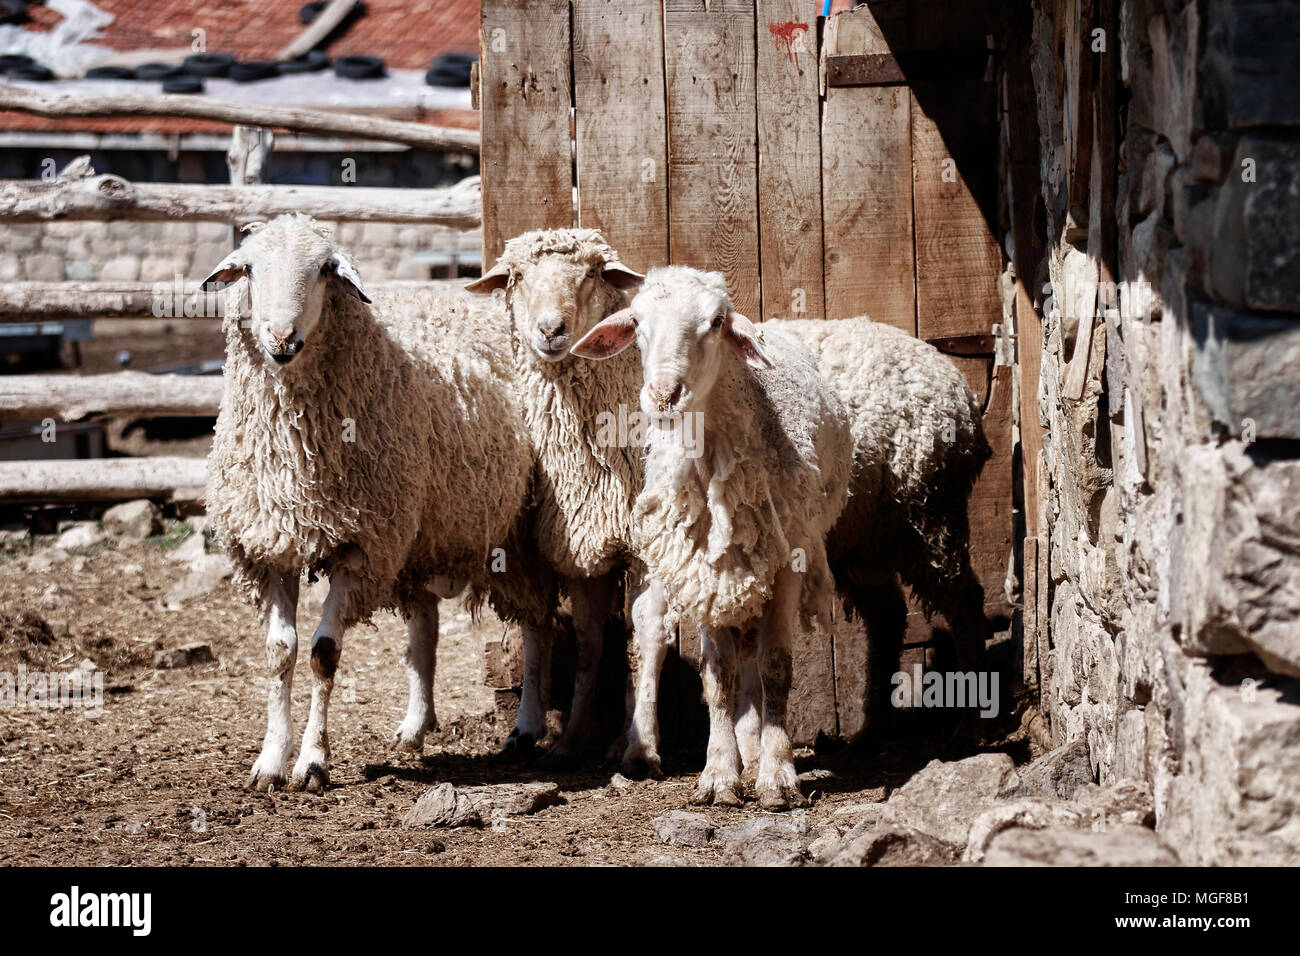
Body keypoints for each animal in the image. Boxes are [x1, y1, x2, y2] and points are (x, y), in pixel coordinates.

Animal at [201, 214, 541, 792]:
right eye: (248, 268)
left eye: (323, 270)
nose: (282, 338)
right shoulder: (270, 547)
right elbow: (279, 653)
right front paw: (270, 761)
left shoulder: (360, 550)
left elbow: (323, 654)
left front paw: (312, 762)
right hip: (419, 536)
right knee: (425, 625)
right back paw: (415, 727)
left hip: (518, 533)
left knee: (540, 628)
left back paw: (527, 726)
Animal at [466, 228, 646, 767]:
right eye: (518, 275)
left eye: (592, 272)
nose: (550, 329)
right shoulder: (580, 546)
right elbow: (589, 644)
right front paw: (570, 744)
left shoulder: (643, 544)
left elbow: (639, 641)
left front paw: (631, 746)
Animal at [572, 265, 853, 809]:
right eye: (636, 322)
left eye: (717, 321)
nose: (663, 395)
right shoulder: (697, 567)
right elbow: (717, 675)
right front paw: (720, 774)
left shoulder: (787, 558)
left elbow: (775, 666)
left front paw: (776, 773)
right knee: (652, 633)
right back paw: (640, 749)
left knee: (753, 653)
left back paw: (752, 745)